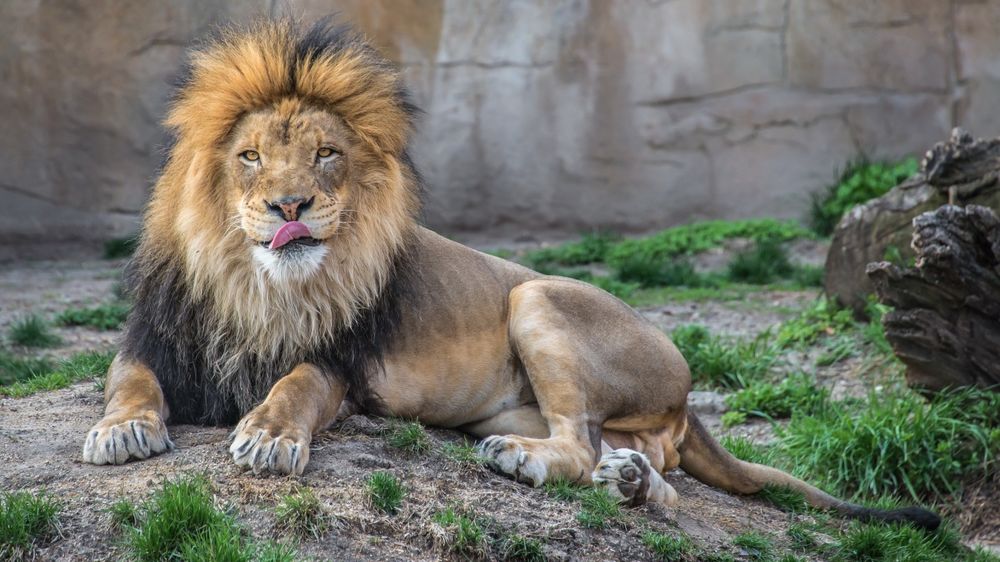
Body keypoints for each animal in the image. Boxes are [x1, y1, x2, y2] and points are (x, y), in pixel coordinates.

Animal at [81, 19, 939, 529]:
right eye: (251, 156)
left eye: (326, 154)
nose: (289, 203)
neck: (258, 283)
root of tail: (691, 394)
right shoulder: (154, 338)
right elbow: (128, 384)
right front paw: (120, 431)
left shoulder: (340, 365)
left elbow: (294, 386)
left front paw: (265, 437)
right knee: (638, 465)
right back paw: (632, 482)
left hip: (534, 296)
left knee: (578, 447)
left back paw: (539, 465)